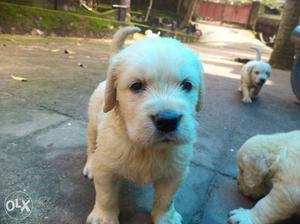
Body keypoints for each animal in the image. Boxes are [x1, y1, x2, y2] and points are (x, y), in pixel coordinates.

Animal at [82, 26, 205, 224]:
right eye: (136, 86)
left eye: (187, 85)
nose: (168, 120)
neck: (146, 149)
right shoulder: (106, 168)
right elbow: (106, 196)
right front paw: (104, 217)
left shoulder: (176, 172)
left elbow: (166, 199)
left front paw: (166, 218)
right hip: (92, 125)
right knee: (91, 146)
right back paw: (90, 165)